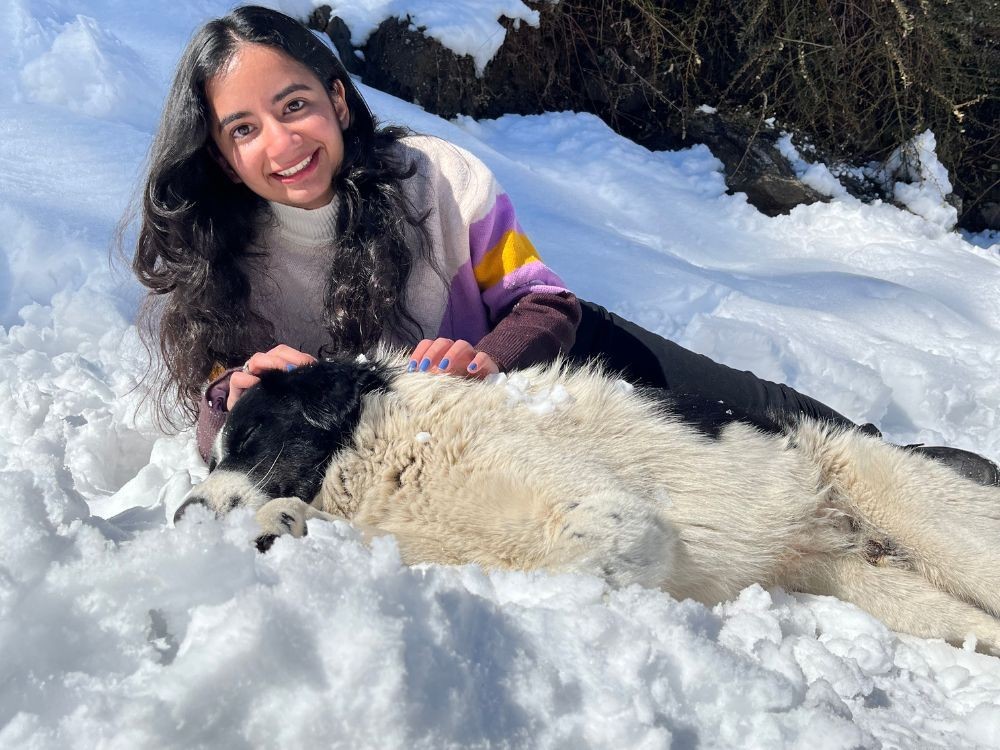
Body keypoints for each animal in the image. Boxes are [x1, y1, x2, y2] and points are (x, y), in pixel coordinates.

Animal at [178, 356, 1000, 656]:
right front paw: (286, 529)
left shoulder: (612, 514)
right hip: (877, 584)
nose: (182, 512)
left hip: (914, 506)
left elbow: (560, 565)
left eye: (247, 438)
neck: (395, 452)